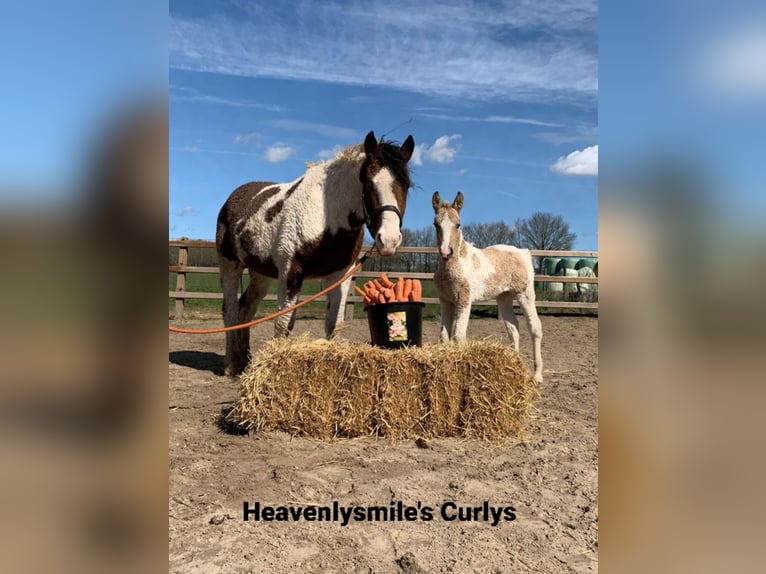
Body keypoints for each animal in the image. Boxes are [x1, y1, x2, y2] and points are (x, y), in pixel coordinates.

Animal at [216, 130, 415, 375]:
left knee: (246, 310)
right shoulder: (290, 272)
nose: (388, 240)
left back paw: (244, 361)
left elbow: (334, 324)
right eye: (369, 183)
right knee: (230, 311)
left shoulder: (340, 275)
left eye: (406, 185)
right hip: (229, 265)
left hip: (260, 274)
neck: (326, 217)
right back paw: (231, 364)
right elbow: (283, 324)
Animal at [431, 191, 544, 383]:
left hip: (525, 294)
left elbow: (458, 335)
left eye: (458, 224)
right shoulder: (445, 300)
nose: (446, 252)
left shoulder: (464, 299)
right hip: (504, 297)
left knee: (534, 327)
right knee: (513, 328)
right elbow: (444, 337)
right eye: (436, 224)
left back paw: (537, 375)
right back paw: (516, 367)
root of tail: (523, 253)